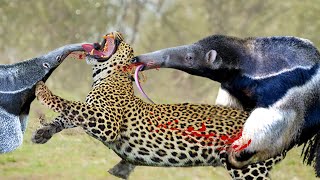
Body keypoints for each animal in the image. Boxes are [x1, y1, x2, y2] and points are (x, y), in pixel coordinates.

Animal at [32, 31, 286, 179]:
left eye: (123, 40)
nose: (114, 31)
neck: (106, 76)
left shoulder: (107, 122)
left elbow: (70, 105)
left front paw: (42, 90)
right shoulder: (94, 114)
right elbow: (68, 114)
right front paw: (44, 132)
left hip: (249, 169)